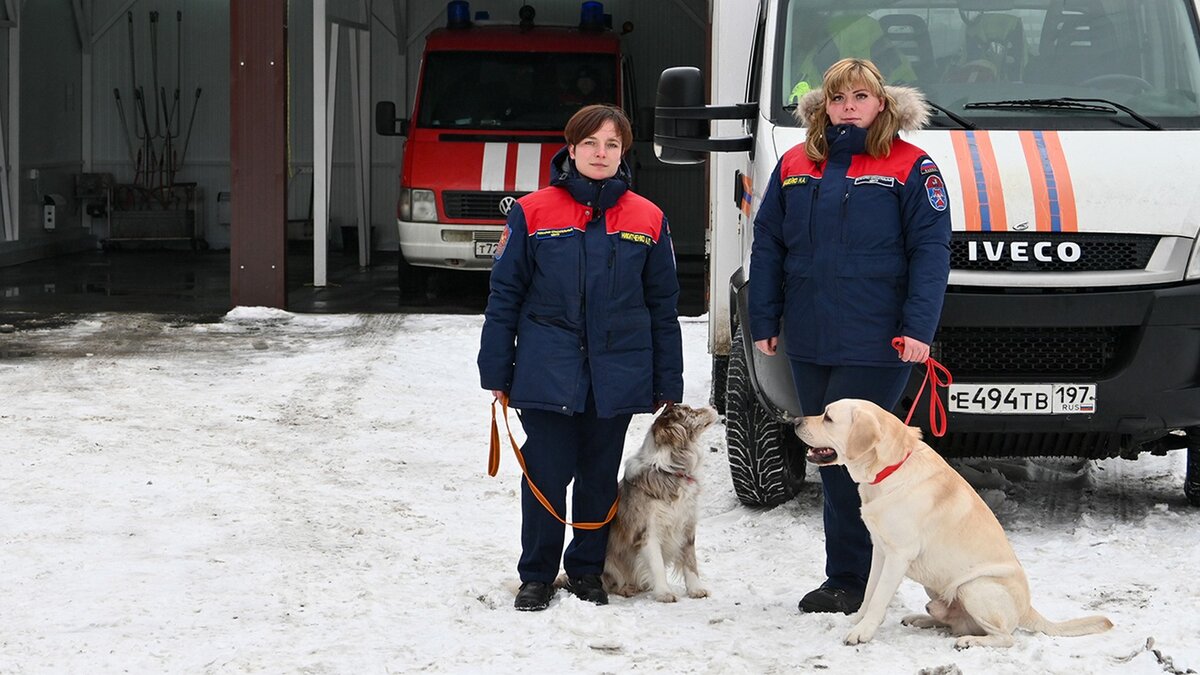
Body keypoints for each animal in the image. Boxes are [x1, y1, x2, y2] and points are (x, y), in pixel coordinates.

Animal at [604, 398, 715, 598]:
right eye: (689, 410)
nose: (714, 406)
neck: (670, 471)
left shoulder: (687, 524)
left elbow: (690, 561)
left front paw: (696, 589)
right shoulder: (648, 531)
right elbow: (657, 565)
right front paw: (664, 593)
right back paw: (626, 588)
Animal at [792, 398, 1108, 648]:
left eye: (828, 417)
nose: (794, 421)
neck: (890, 470)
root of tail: (1027, 609)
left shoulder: (898, 556)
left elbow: (880, 596)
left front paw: (863, 632)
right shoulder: (880, 550)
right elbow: (870, 591)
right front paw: (858, 621)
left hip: (975, 587)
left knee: (1005, 637)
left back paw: (969, 641)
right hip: (936, 587)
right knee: (952, 621)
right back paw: (920, 619)